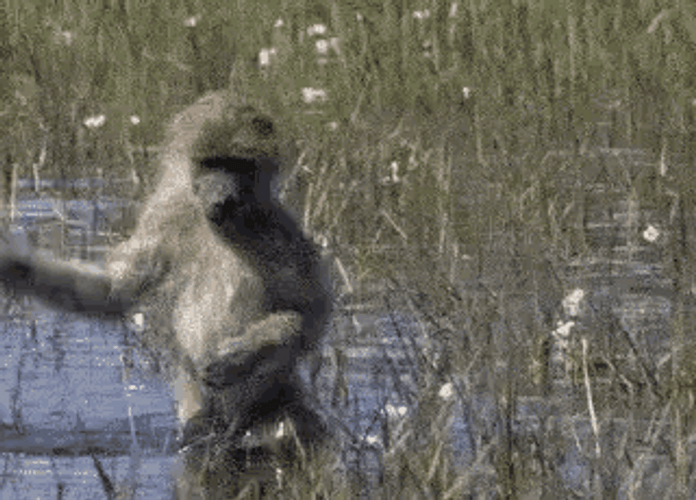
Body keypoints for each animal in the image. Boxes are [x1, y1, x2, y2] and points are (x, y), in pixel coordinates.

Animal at [0, 90, 332, 497]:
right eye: (212, 164)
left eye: (237, 165)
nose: (223, 195)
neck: (222, 227)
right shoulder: (167, 217)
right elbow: (113, 292)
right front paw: (12, 266)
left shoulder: (281, 232)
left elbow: (310, 316)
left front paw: (241, 354)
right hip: (199, 424)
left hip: (271, 403)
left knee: (287, 430)